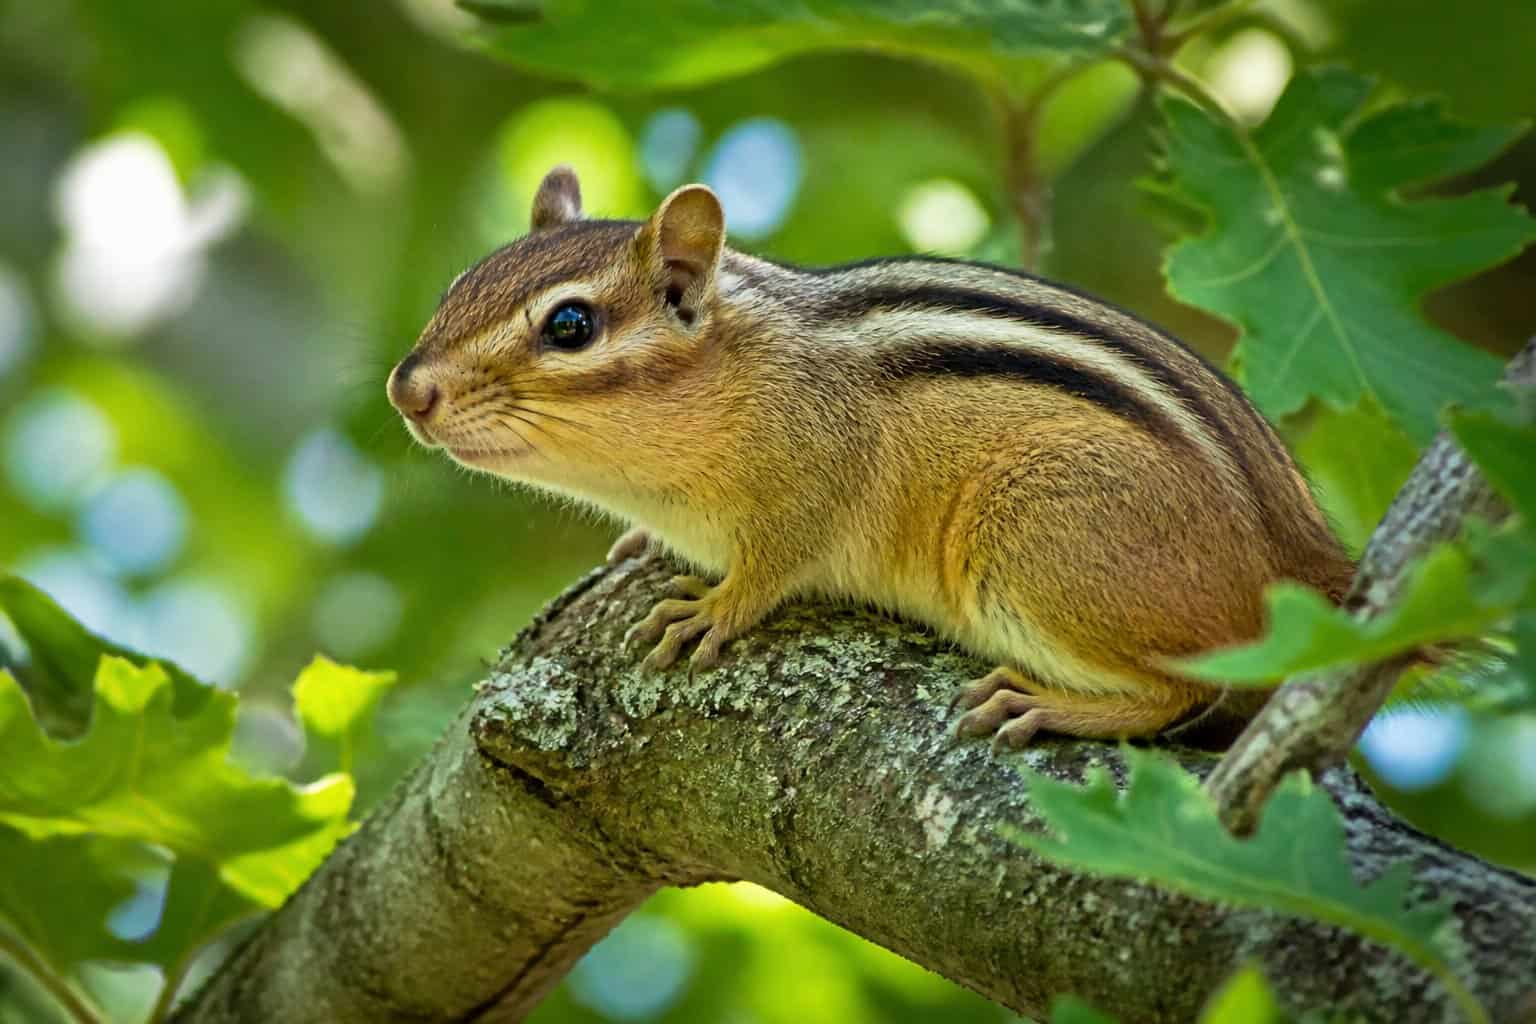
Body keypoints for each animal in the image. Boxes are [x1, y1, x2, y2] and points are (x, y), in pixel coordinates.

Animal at [388, 165, 1355, 748]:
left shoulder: (814, 478)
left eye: (570, 325)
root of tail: (1306, 558)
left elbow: (777, 559)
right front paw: (635, 545)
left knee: (1186, 691)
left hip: (1028, 539)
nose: (407, 389)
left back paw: (1046, 703)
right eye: (458, 286)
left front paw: (716, 607)